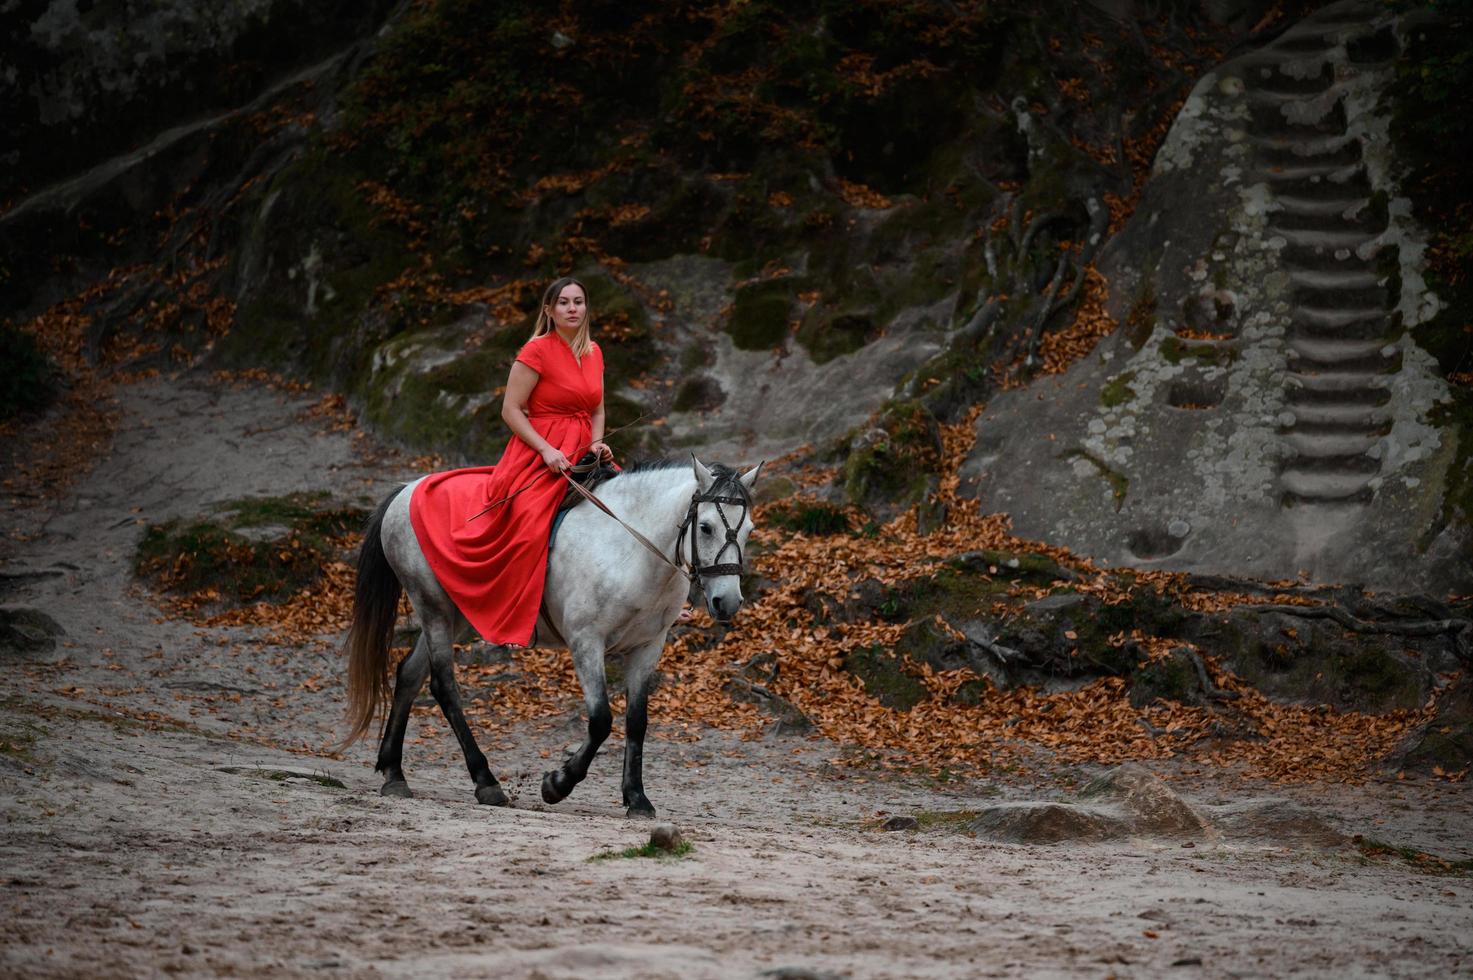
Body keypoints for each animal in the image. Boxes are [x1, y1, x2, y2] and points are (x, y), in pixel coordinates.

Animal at [340, 453, 765, 813]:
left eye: (748, 530)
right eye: (706, 527)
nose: (727, 601)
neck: (629, 549)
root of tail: (408, 489)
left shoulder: (648, 647)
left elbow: (636, 721)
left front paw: (637, 798)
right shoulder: (586, 642)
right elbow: (601, 720)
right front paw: (557, 783)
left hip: (456, 614)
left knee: (409, 675)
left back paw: (394, 772)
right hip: (435, 610)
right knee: (443, 687)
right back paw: (485, 780)